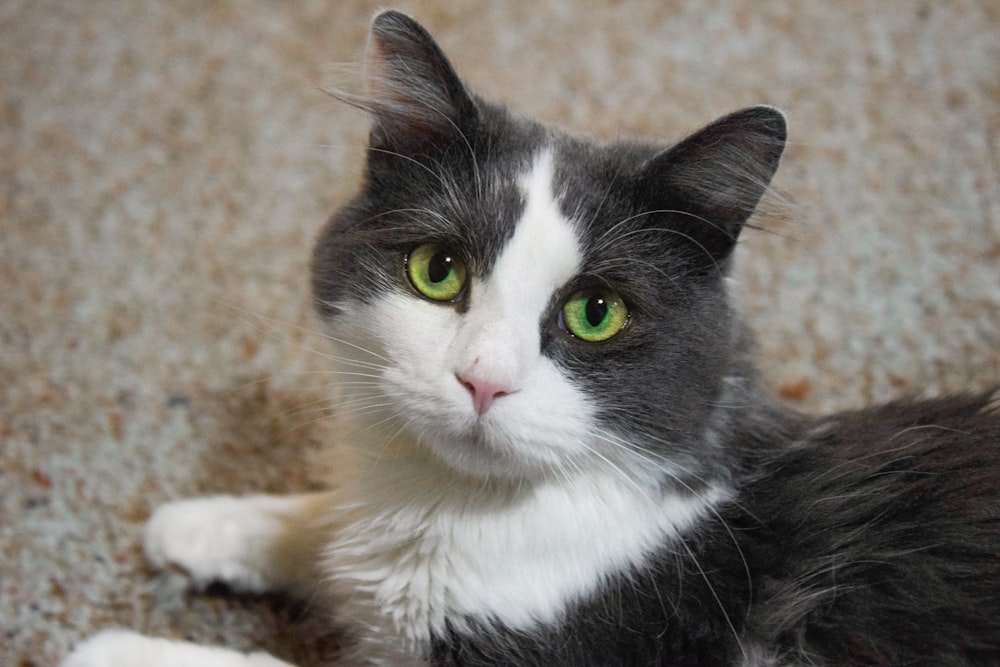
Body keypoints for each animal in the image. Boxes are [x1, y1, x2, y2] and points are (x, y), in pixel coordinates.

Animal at [64, 10, 1000, 667]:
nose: (483, 379)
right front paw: (200, 523)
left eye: (596, 313)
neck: (454, 509)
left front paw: (116, 645)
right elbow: (323, 521)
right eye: (438, 270)